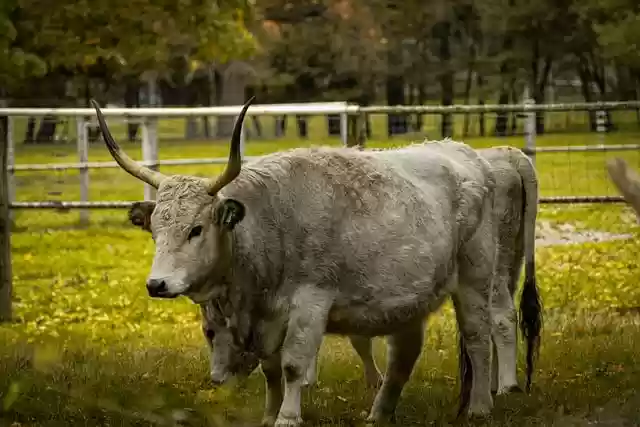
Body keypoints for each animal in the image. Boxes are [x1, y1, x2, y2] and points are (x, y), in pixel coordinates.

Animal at [91, 97, 500, 426]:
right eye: (155, 231)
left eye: (196, 229)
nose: (156, 284)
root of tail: (461, 153)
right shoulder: (269, 318)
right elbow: (271, 370)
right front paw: (269, 414)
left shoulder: (311, 302)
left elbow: (292, 366)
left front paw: (287, 417)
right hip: (409, 298)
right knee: (404, 355)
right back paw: (379, 414)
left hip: (475, 277)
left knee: (478, 338)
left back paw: (479, 407)